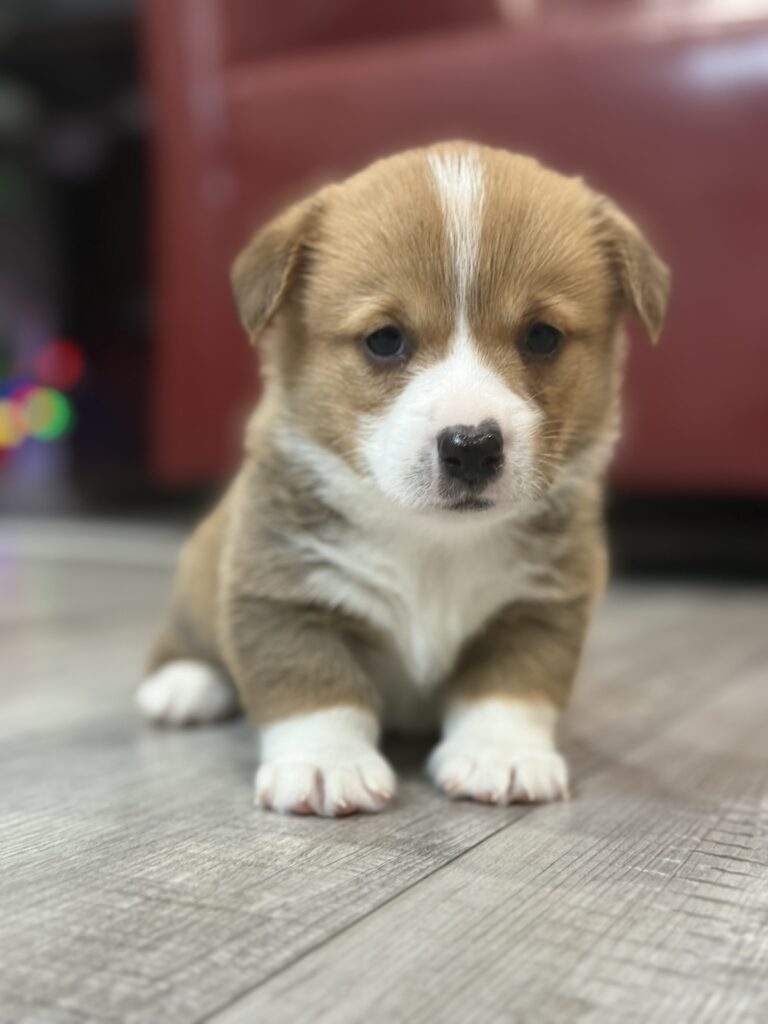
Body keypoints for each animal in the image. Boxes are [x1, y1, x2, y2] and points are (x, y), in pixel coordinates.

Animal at [137, 142, 669, 816]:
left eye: (542, 337)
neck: (433, 541)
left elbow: (511, 688)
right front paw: (324, 764)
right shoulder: (283, 591)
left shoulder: (538, 606)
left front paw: (501, 756)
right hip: (197, 578)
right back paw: (183, 685)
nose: (472, 447)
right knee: (184, 638)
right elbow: (315, 685)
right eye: (385, 340)